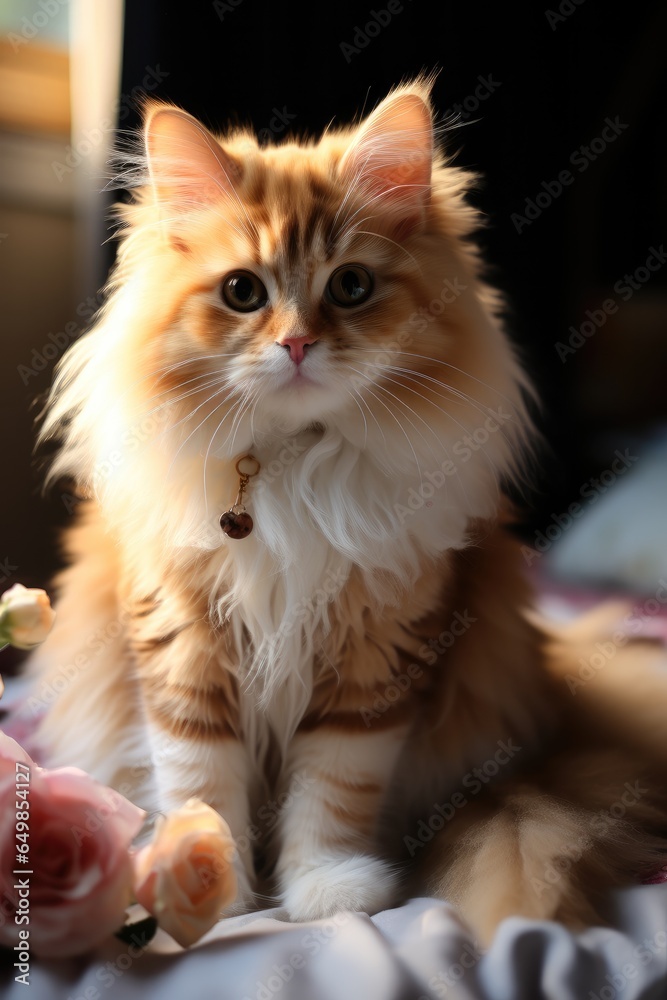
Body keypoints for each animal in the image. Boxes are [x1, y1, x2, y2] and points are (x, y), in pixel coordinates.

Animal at [28, 80, 667, 944]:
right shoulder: (182, 646)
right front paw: (211, 889)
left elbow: (331, 793)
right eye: (243, 292)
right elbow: (200, 785)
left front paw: (325, 892)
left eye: (351, 287)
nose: (298, 345)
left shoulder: (377, 660)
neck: (292, 466)